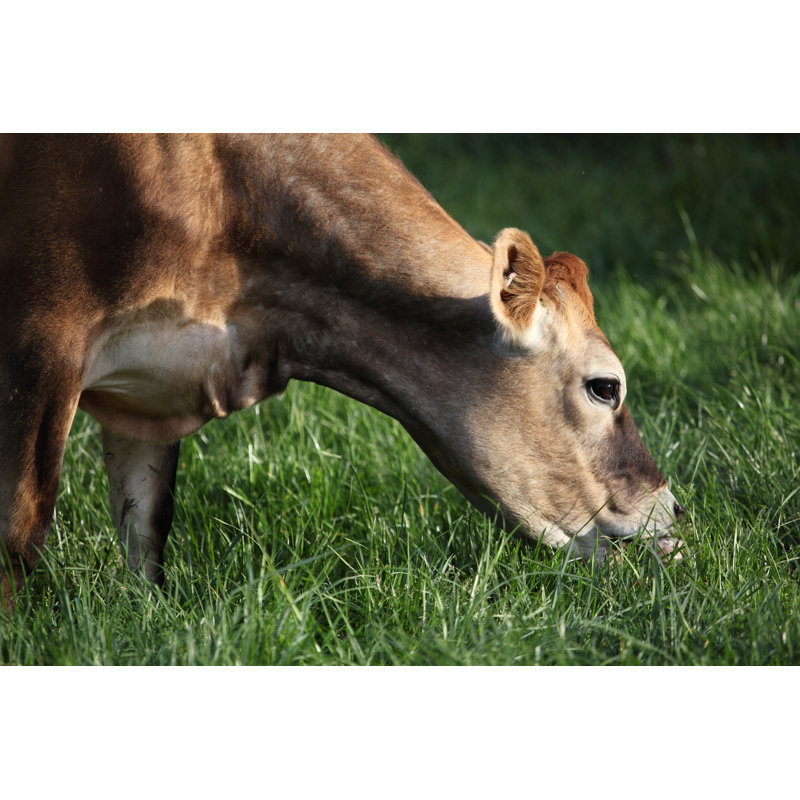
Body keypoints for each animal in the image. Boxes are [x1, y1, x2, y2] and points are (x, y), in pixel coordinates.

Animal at [0, 133, 684, 605]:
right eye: (605, 387)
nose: (674, 512)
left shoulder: (151, 393)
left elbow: (145, 526)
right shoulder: (41, 336)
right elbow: (19, 530)